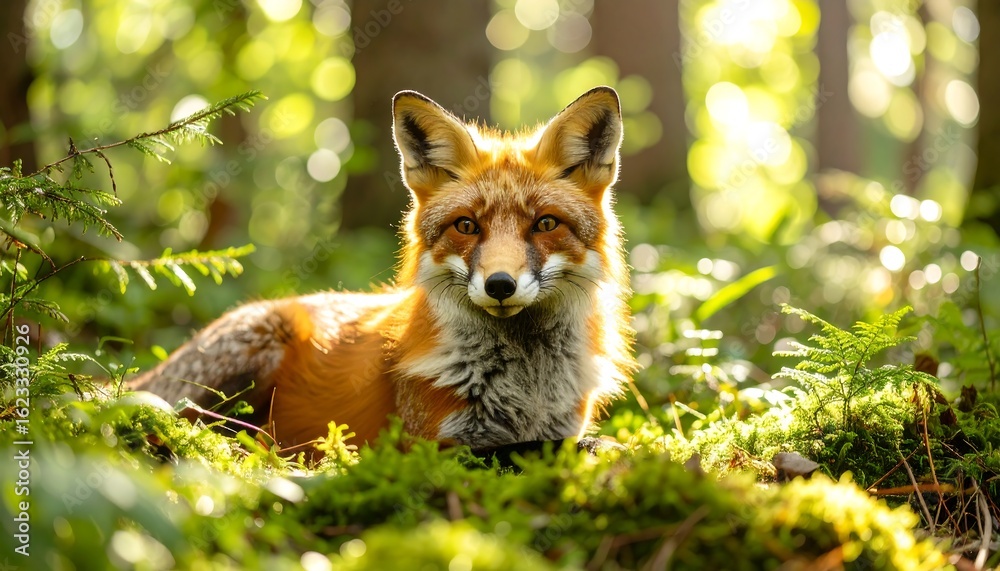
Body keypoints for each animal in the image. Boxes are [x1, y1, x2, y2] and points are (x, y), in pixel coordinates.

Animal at [131, 86, 636, 454]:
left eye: (546, 224)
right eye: (467, 226)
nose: (499, 285)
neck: (526, 386)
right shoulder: (430, 446)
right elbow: (531, 450)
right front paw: (606, 448)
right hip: (254, 350)